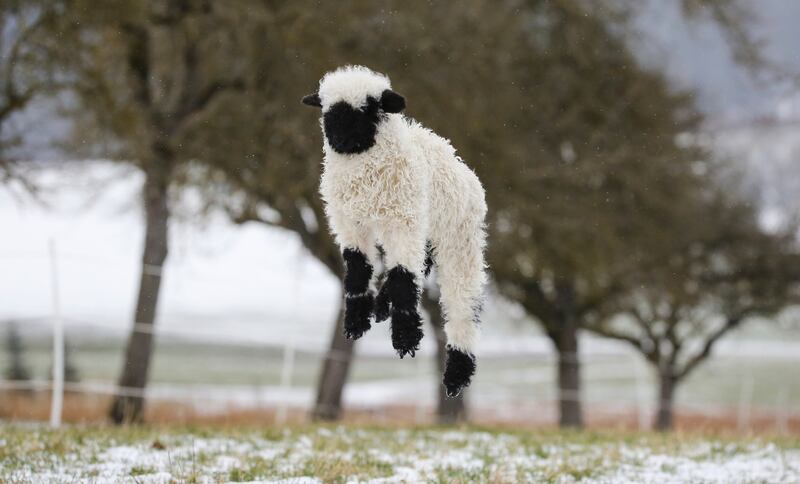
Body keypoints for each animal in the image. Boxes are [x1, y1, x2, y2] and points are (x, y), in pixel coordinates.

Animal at [302, 65, 484, 398]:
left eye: (369, 109)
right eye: (326, 110)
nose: (339, 139)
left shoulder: (402, 224)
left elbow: (403, 277)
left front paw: (405, 340)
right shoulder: (349, 224)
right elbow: (358, 270)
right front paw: (356, 322)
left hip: (458, 240)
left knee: (462, 304)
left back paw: (455, 377)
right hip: (425, 231)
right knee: (422, 265)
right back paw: (380, 307)